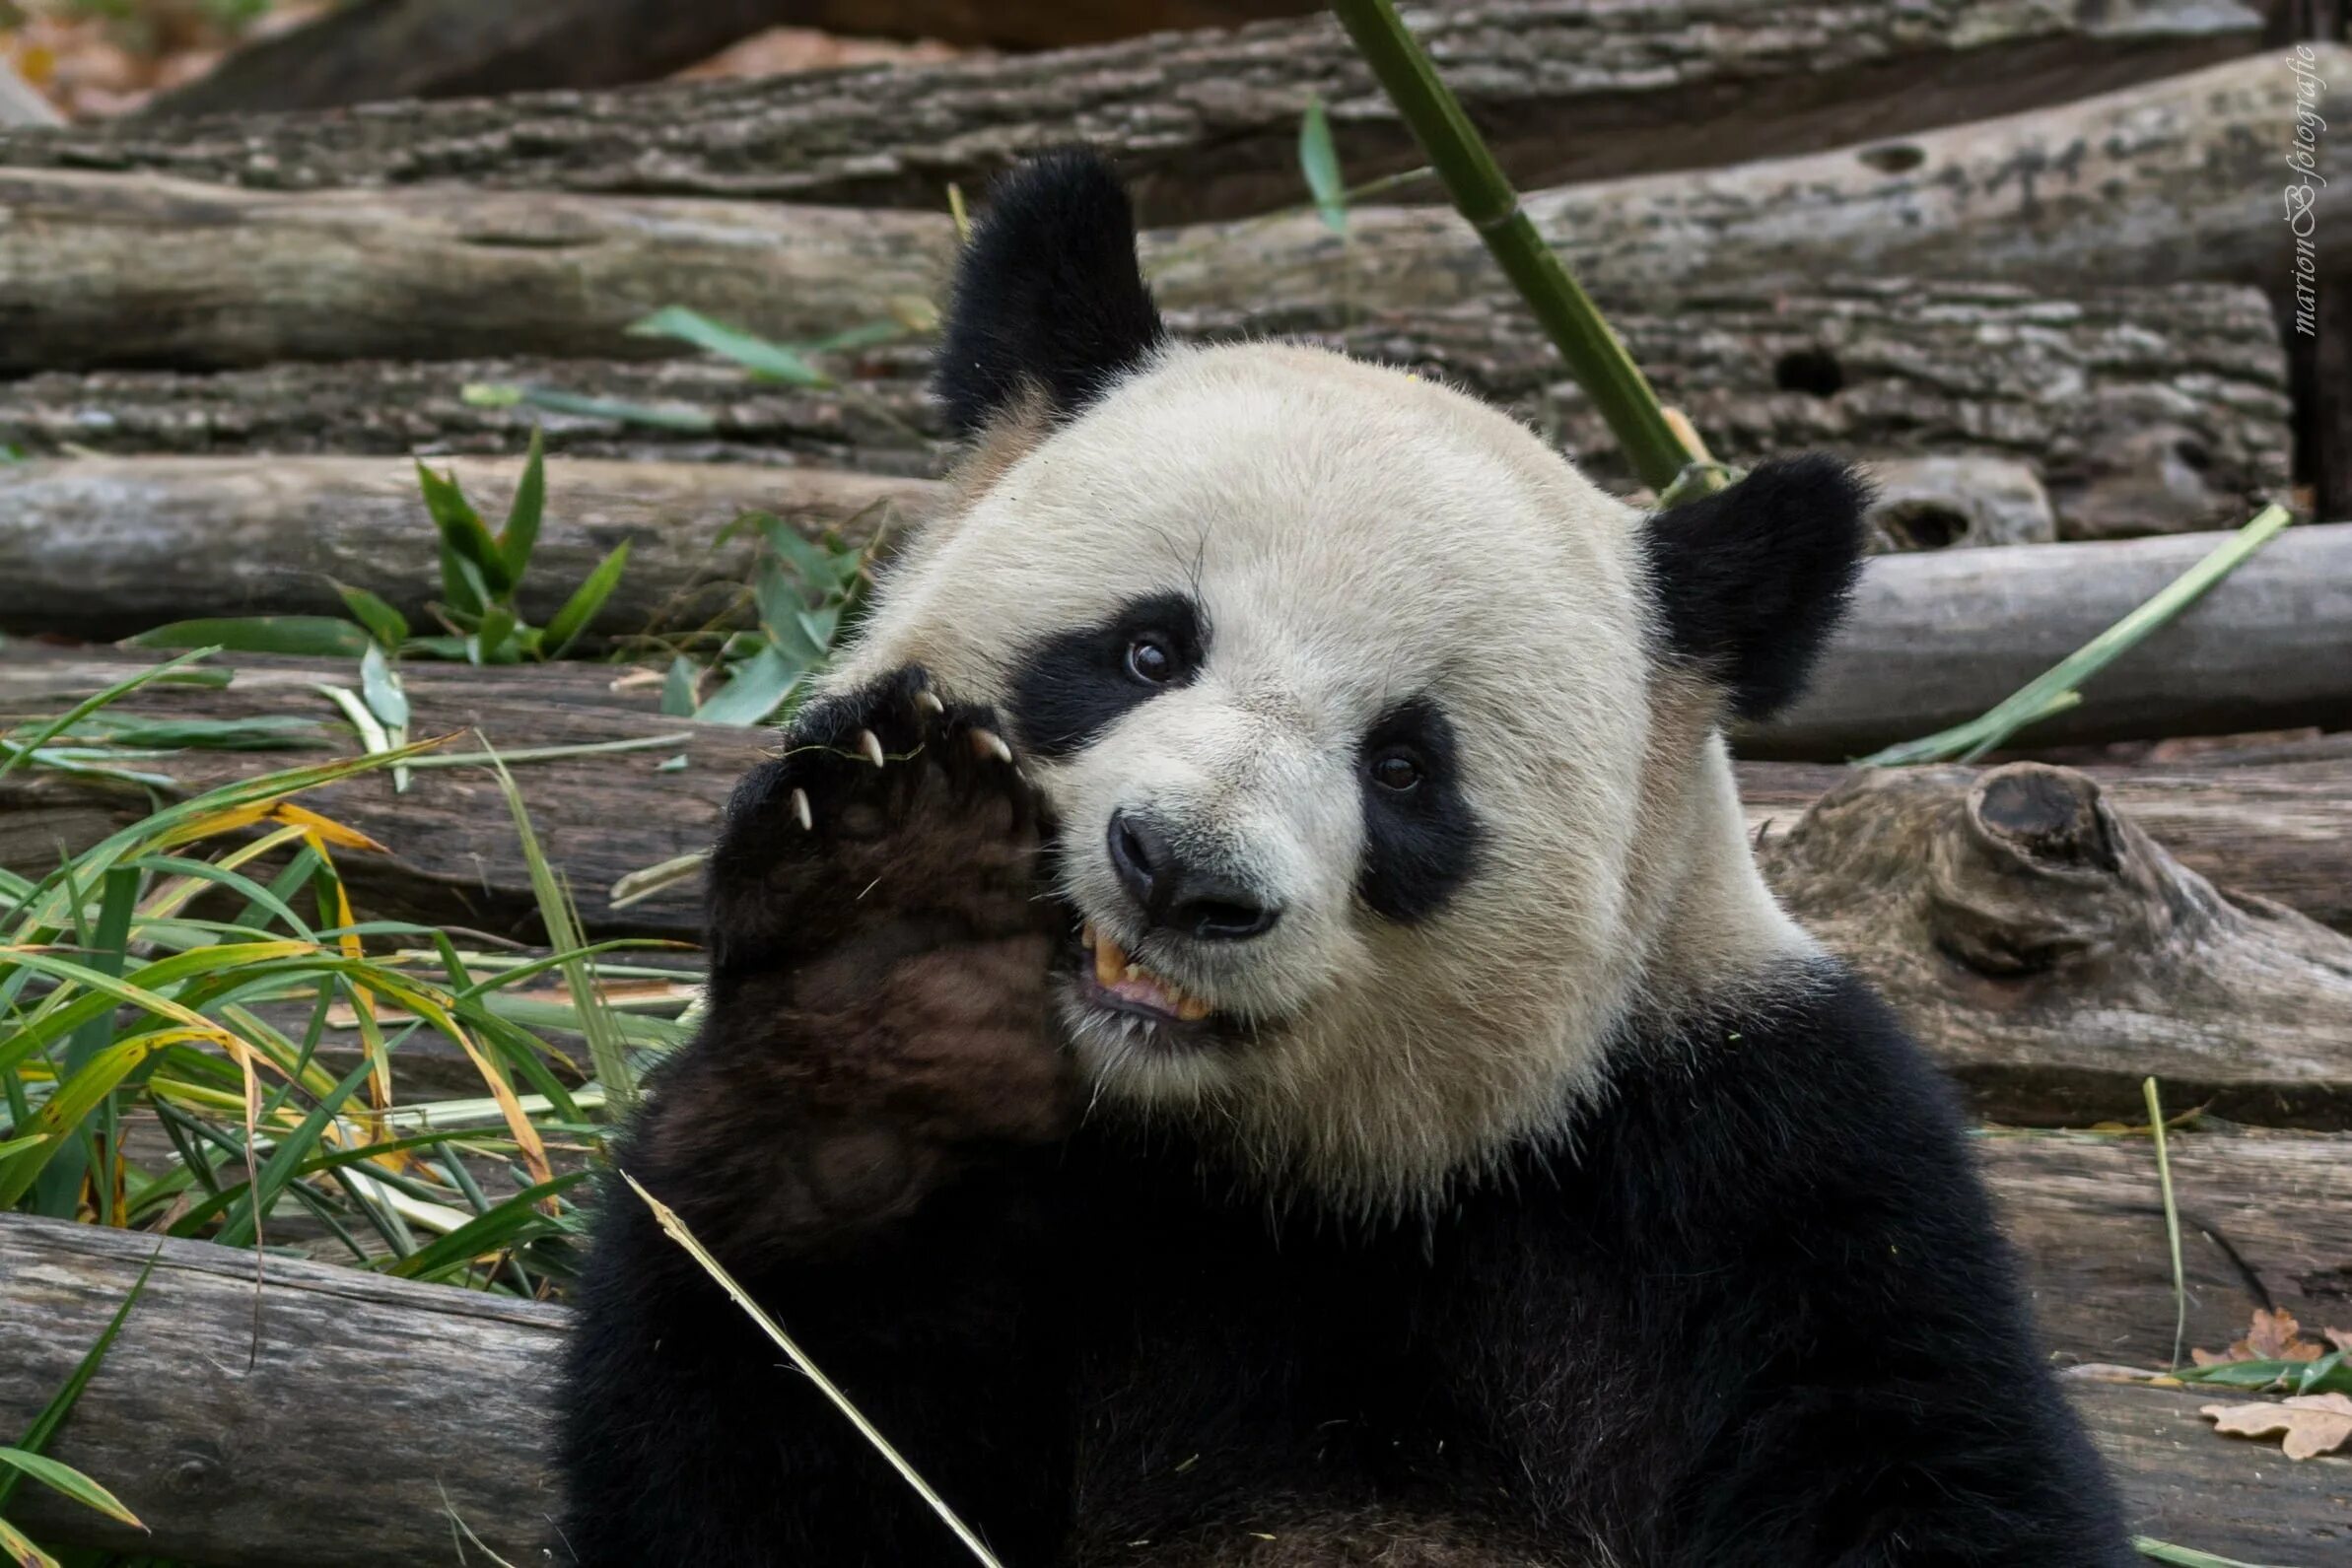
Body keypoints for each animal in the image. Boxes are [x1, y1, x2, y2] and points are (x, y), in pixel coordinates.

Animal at [558, 150, 2133, 1567]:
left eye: (1404, 766)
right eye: (1146, 647)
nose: (1181, 872)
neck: (1261, 1176)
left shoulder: (1754, 1165)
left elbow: (1924, 1461)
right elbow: (780, 1432)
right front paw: (888, 974)